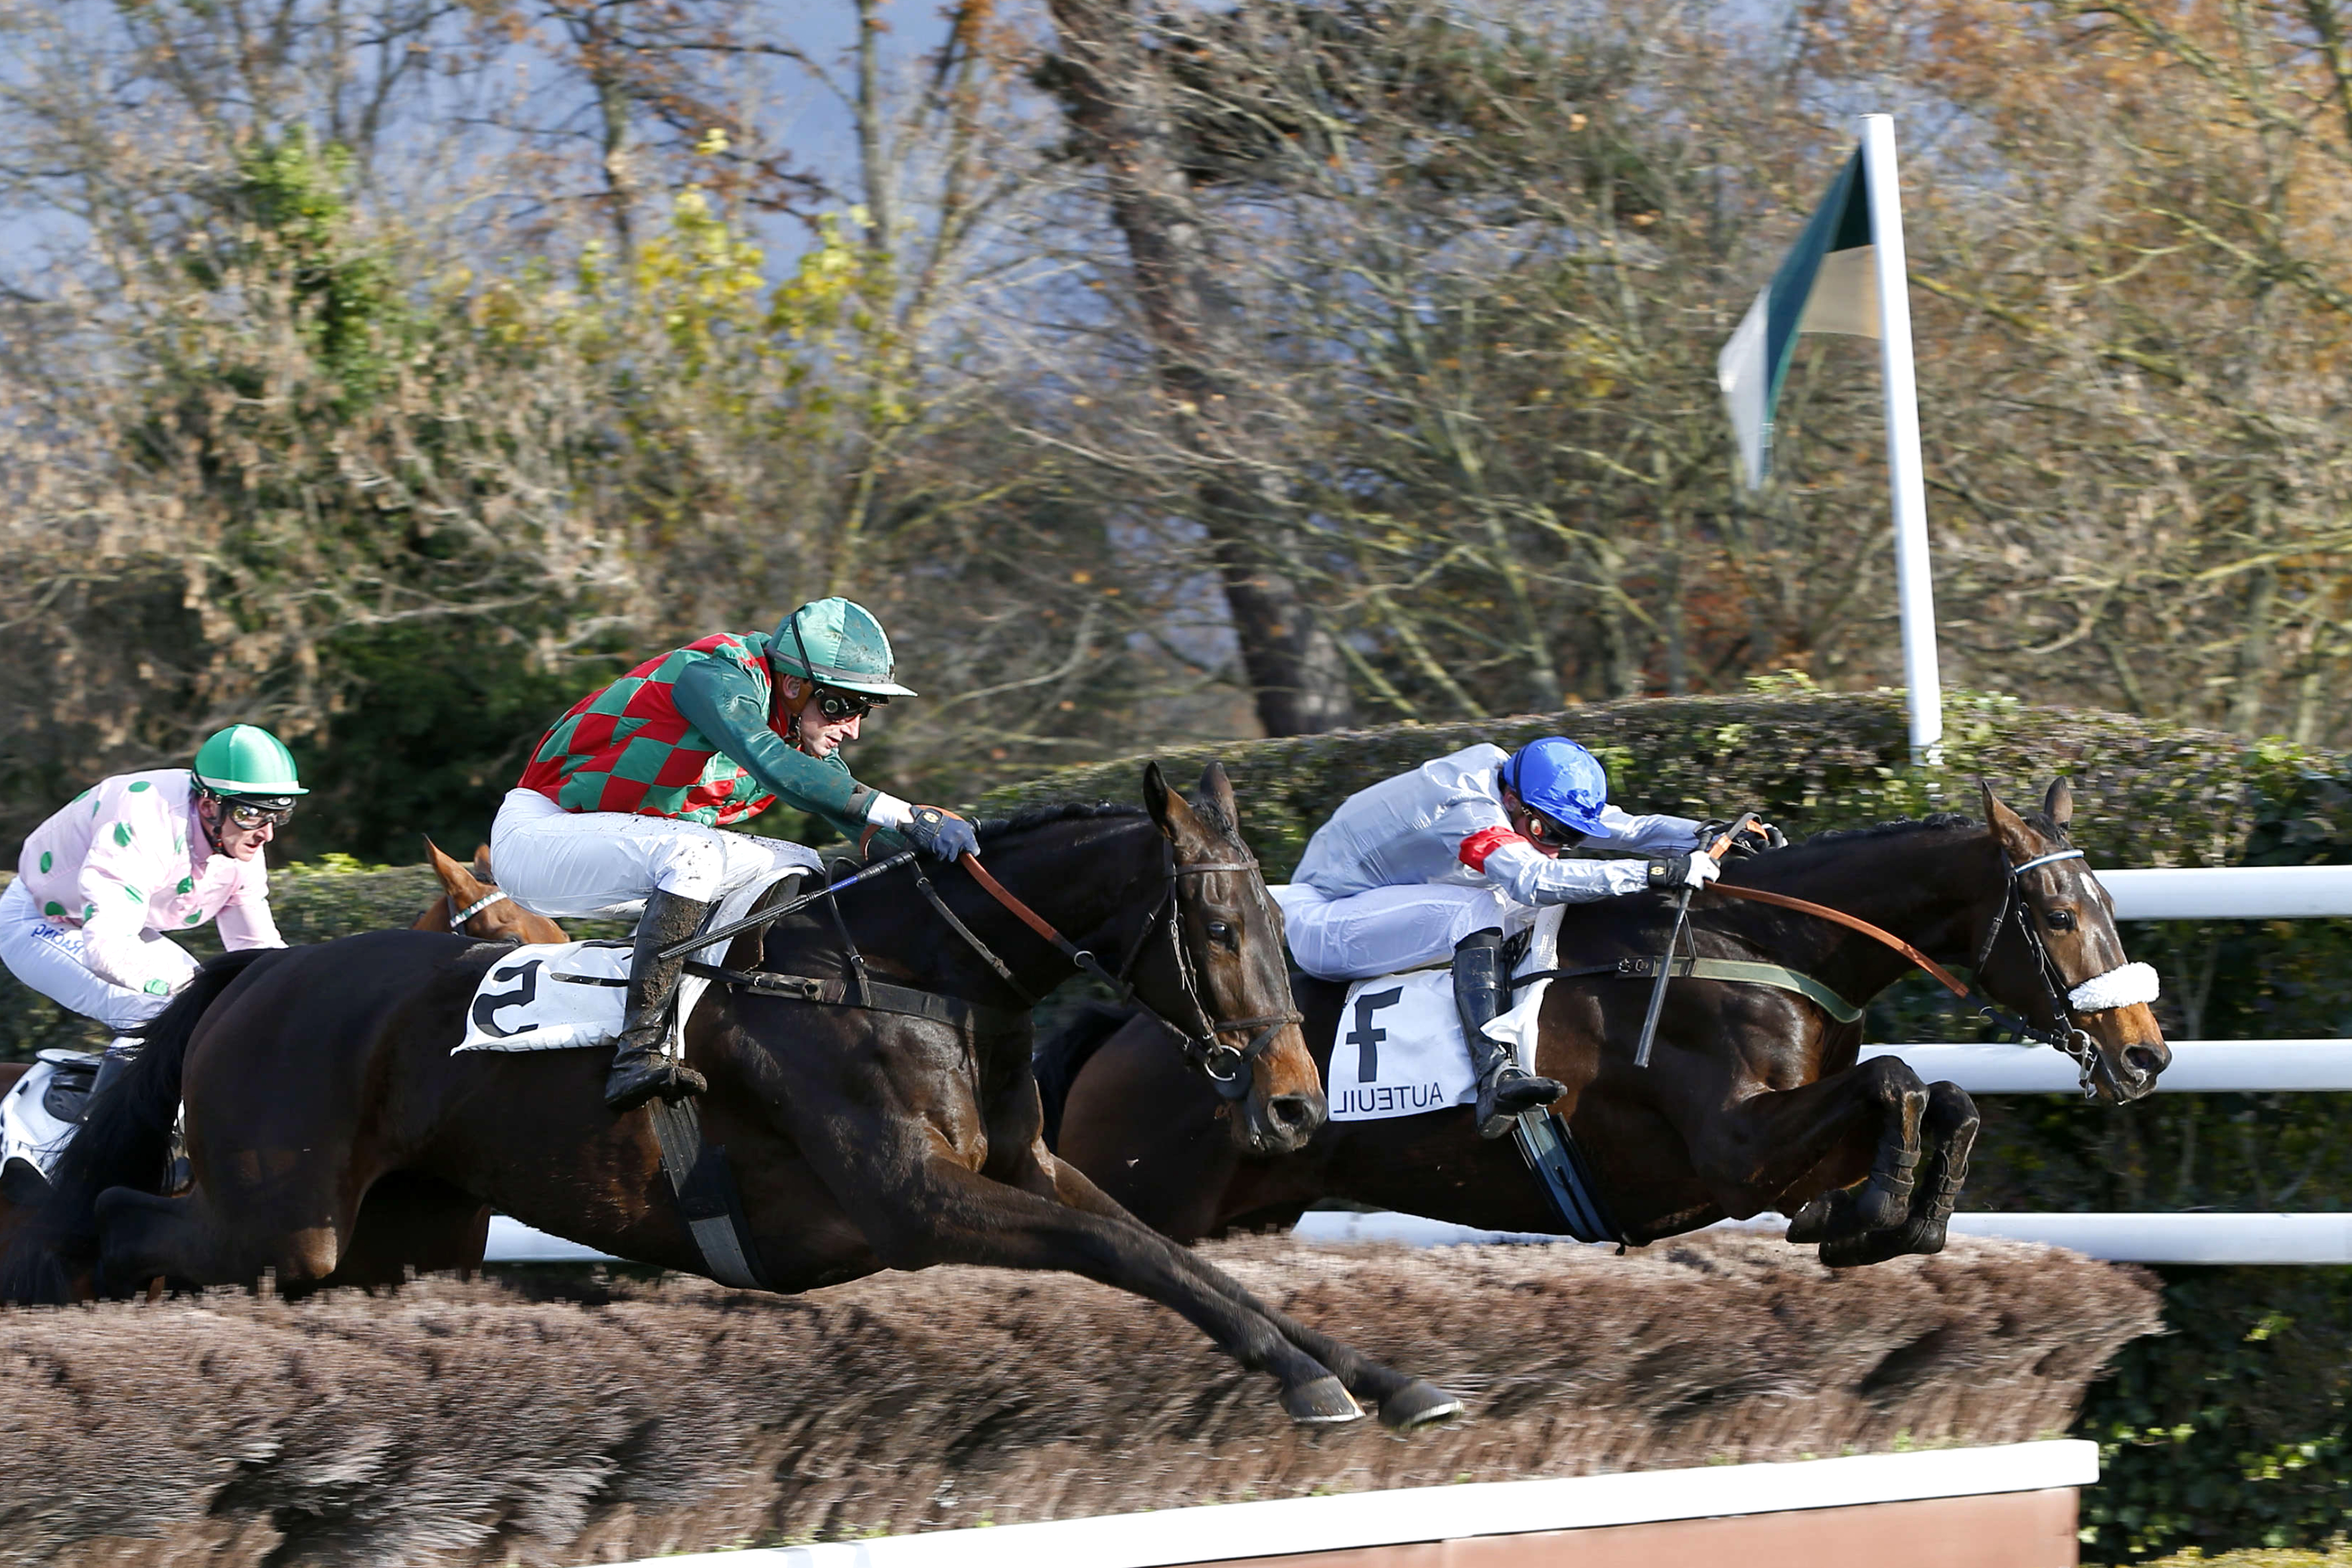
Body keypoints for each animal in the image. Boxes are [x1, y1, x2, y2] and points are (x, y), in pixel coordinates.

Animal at [4, 771, 1467, 1439]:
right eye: (1216, 926)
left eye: (1274, 920)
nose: (1293, 1107)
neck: (910, 977)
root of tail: (262, 968)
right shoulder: (915, 1203)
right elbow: (1129, 1252)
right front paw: (1310, 1383)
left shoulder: (1021, 1168)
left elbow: (1173, 1253)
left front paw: (1385, 1377)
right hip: (284, 1210)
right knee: (123, 1213)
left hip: (401, 1230)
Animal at [1044, 780, 2163, 1269]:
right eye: (2056, 915)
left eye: (2106, 901)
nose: (2142, 1050)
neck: (1749, 942)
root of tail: (1128, 1035)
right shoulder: (1731, 1155)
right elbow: (1893, 1078)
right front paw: (1880, 1214)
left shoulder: (1783, 1157)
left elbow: (1946, 1096)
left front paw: (1895, 1218)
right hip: (1151, 1193)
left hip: (1250, 1208)